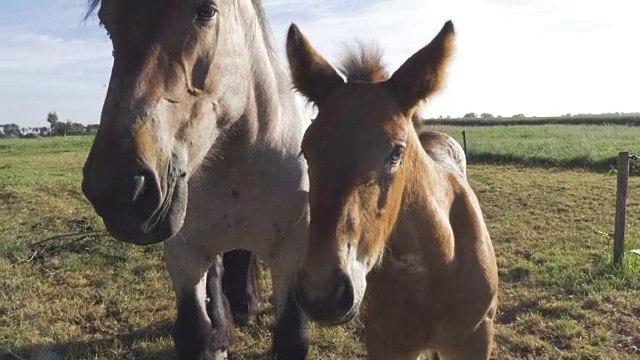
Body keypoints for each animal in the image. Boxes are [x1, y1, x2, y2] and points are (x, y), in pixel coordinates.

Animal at [80, 1, 312, 358]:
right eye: (107, 21)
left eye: (206, 11)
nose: (118, 192)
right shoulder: (185, 254)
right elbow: (196, 332)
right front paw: (217, 334)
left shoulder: (292, 254)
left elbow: (293, 335)